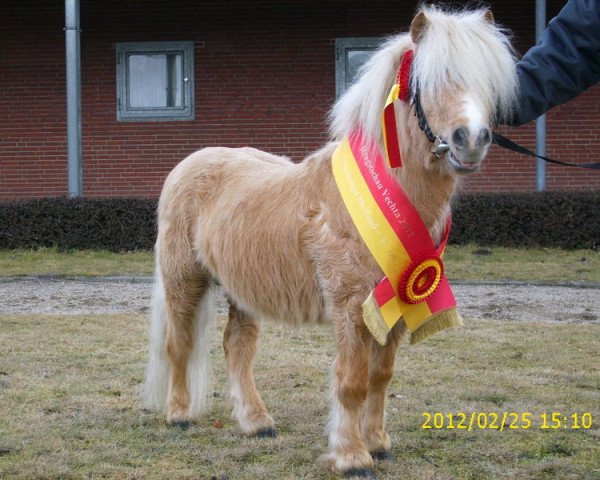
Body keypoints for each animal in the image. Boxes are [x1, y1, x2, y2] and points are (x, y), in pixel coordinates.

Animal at [143, 4, 516, 476]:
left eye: (488, 81)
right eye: (428, 81)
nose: (471, 140)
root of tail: (189, 164)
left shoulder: (395, 306)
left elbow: (380, 377)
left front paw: (378, 443)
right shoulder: (352, 306)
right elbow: (352, 381)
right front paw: (351, 456)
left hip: (242, 290)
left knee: (237, 348)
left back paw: (257, 422)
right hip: (183, 280)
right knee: (180, 344)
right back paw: (178, 415)